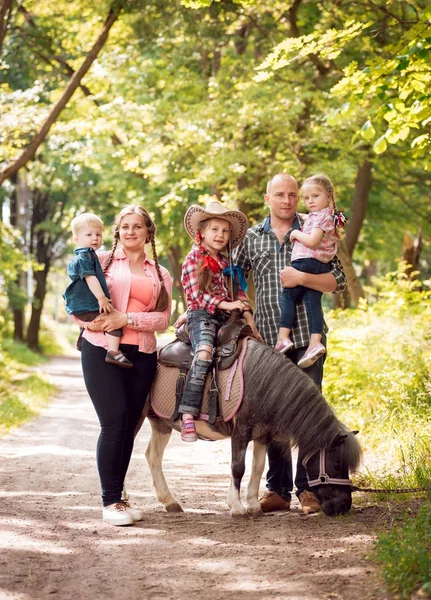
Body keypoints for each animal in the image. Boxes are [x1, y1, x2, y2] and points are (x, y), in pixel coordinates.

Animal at [142, 340, 362, 516]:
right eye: (337, 464)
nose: (343, 506)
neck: (263, 384)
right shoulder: (240, 431)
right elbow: (238, 467)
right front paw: (237, 507)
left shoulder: (263, 434)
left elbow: (258, 467)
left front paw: (254, 505)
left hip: (161, 424)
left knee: (152, 456)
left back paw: (170, 502)